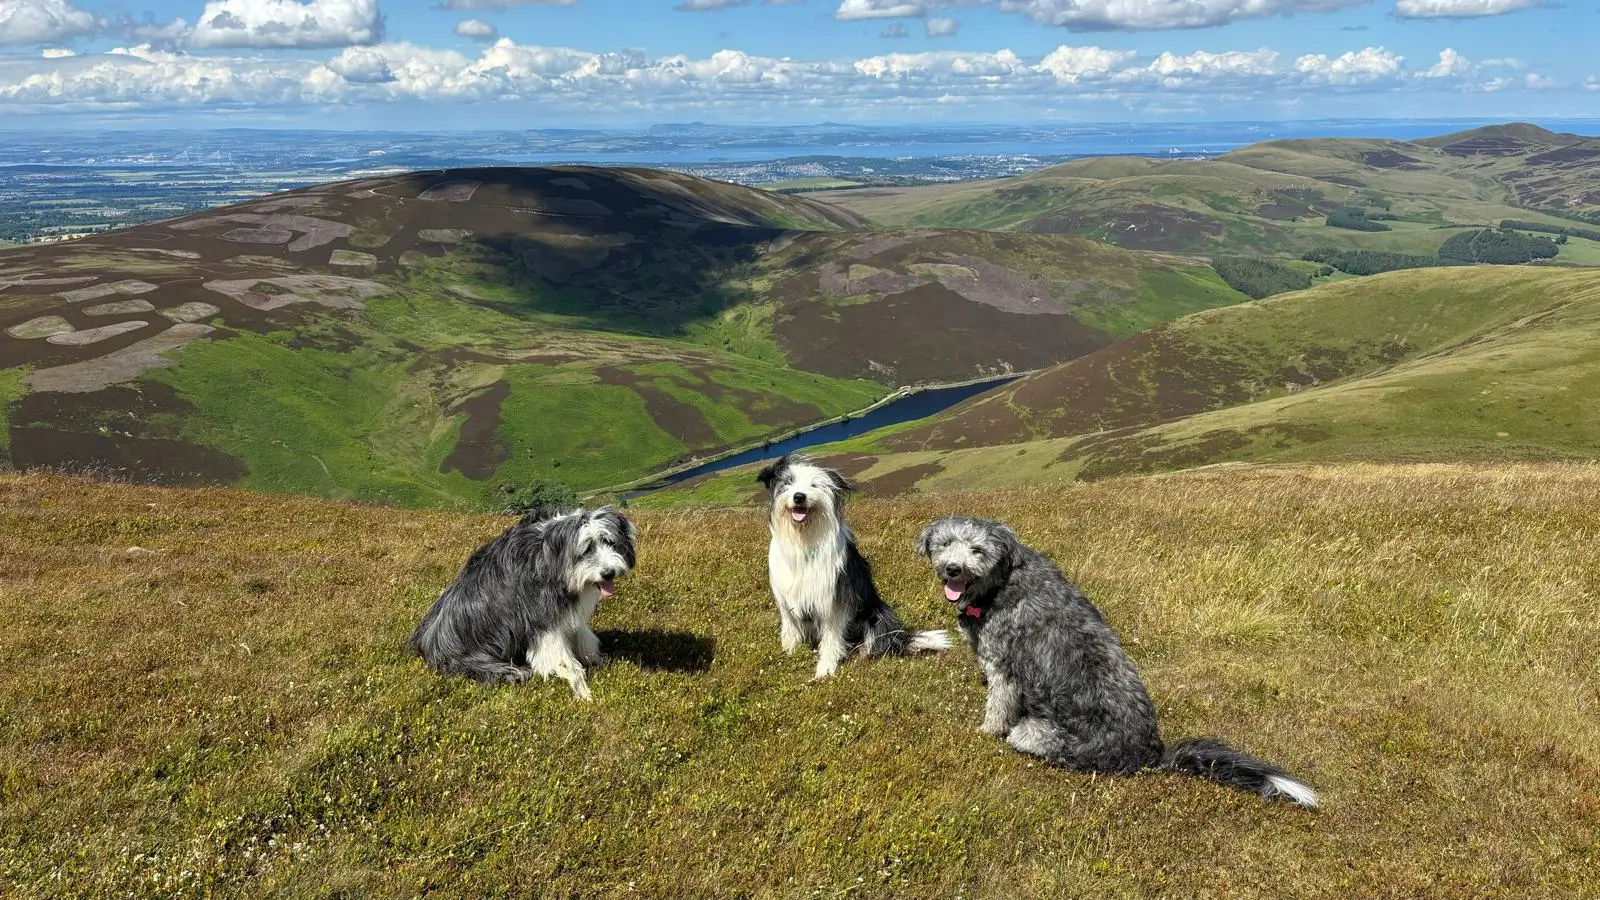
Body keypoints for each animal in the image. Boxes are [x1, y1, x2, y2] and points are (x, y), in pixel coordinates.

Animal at [406, 499, 636, 698]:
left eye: (609, 542)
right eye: (587, 549)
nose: (609, 573)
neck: (551, 555)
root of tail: (426, 645)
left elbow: (582, 636)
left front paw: (596, 660)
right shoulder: (541, 618)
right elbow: (564, 660)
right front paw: (582, 691)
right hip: (481, 662)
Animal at [752, 451, 940, 675]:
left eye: (814, 485)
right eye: (788, 482)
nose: (799, 496)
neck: (804, 540)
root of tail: (900, 638)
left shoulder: (834, 598)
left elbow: (832, 637)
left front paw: (825, 668)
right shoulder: (787, 597)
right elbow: (790, 628)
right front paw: (789, 652)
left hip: (880, 614)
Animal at [921, 512, 1318, 807]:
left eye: (977, 550)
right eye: (946, 544)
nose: (953, 569)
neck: (1000, 581)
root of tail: (1151, 755)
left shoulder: (1003, 665)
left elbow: (999, 706)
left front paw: (985, 732)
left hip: (1036, 733)